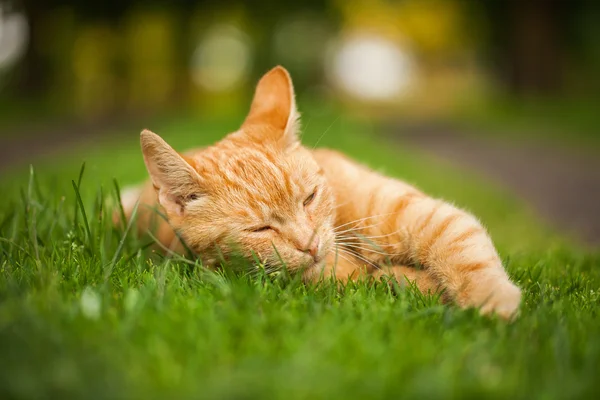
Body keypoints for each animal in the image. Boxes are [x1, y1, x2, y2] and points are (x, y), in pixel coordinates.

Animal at [119, 67, 524, 320]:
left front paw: (490, 298)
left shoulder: (421, 214)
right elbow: (383, 280)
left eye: (309, 198)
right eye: (260, 230)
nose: (309, 244)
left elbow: (461, 246)